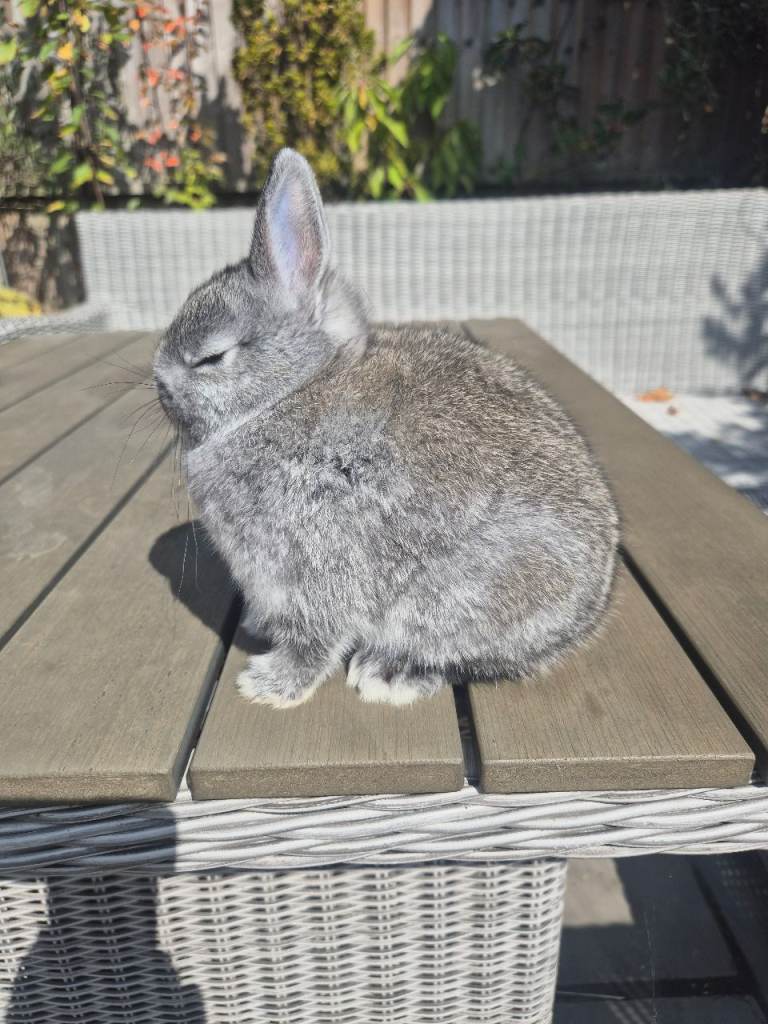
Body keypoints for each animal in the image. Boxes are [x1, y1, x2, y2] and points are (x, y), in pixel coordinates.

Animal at [153, 148, 620, 709]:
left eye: (211, 358)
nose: (158, 385)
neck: (284, 395)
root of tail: (589, 611)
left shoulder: (319, 561)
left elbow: (316, 637)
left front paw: (268, 685)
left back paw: (388, 673)